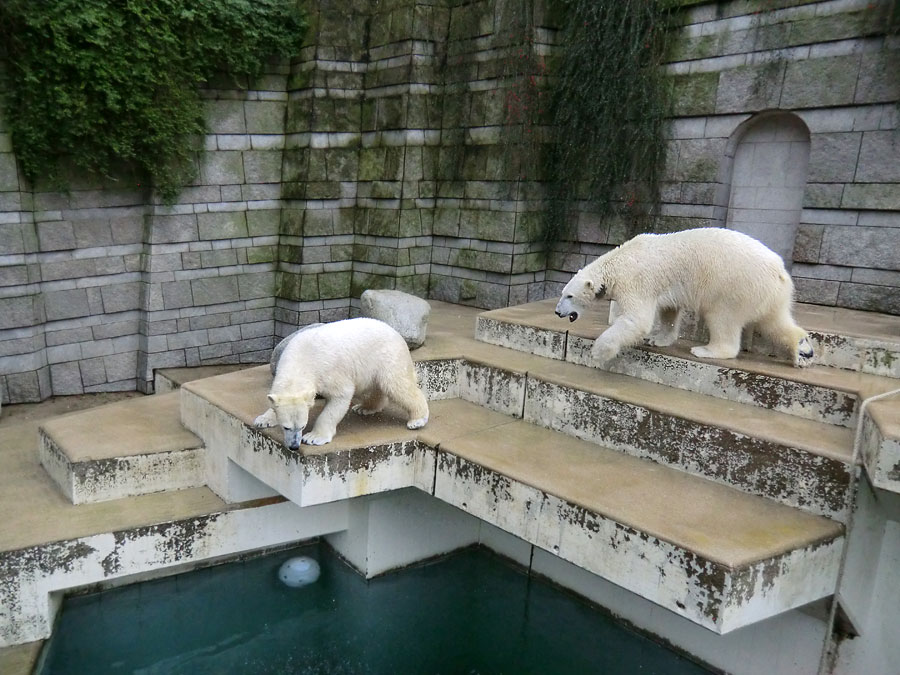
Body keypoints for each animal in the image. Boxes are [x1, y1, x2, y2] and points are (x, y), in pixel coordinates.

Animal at [253, 318, 428, 448]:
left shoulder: (329, 372)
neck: (302, 357)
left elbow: (340, 396)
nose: (294, 446)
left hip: (388, 357)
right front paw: (263, 419)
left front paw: (314, 437)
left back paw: (417, 420)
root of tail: (395, 332)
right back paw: (365, 408)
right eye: (286, 427)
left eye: (302, 426)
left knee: (397, 385)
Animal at [556, 228, 816, 368]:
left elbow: (636, 320)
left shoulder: (636, 281)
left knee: (722, 319)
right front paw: (658, 339)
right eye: (561, 294)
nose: (558, 312)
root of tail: (779, 271)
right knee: (775, 321)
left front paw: (599, 352)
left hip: (734, 286)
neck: (617, 262)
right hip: (770, 294)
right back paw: (803, 349)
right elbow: (669, 311)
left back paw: (706, 350)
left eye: (569, 295)